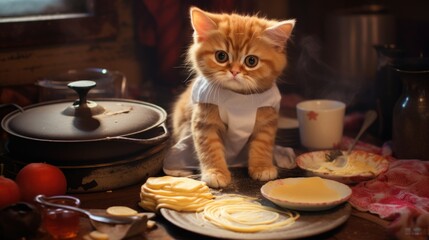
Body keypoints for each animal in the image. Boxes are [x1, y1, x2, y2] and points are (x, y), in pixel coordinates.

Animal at [167, 7, 294, 188]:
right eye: (221, 56)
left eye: (251, 61)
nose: (234, 71)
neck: (237, 99)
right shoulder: (205, 122)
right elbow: (210, 150)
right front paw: (215, 173)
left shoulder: (267, 120)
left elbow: (262, 145)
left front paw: (262, 167)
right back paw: (178, 171)